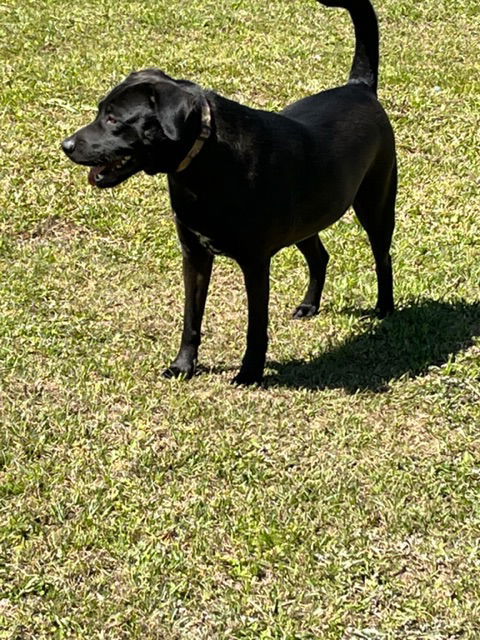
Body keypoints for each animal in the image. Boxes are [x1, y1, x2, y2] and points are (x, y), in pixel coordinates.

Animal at [62, 0, 396, 384]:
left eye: (114, 119)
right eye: (100, 111)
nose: (66, 145)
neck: (204, 163)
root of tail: (359, 87)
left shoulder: (255, 261)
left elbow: (255, 325)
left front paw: (249, 372)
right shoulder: (193, 253)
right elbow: (191, 318)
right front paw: (183, 366)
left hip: (376, 202)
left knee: (382, 256)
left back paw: (385, 308)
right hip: (307, 217)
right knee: (320, 256)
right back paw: (309, 305)